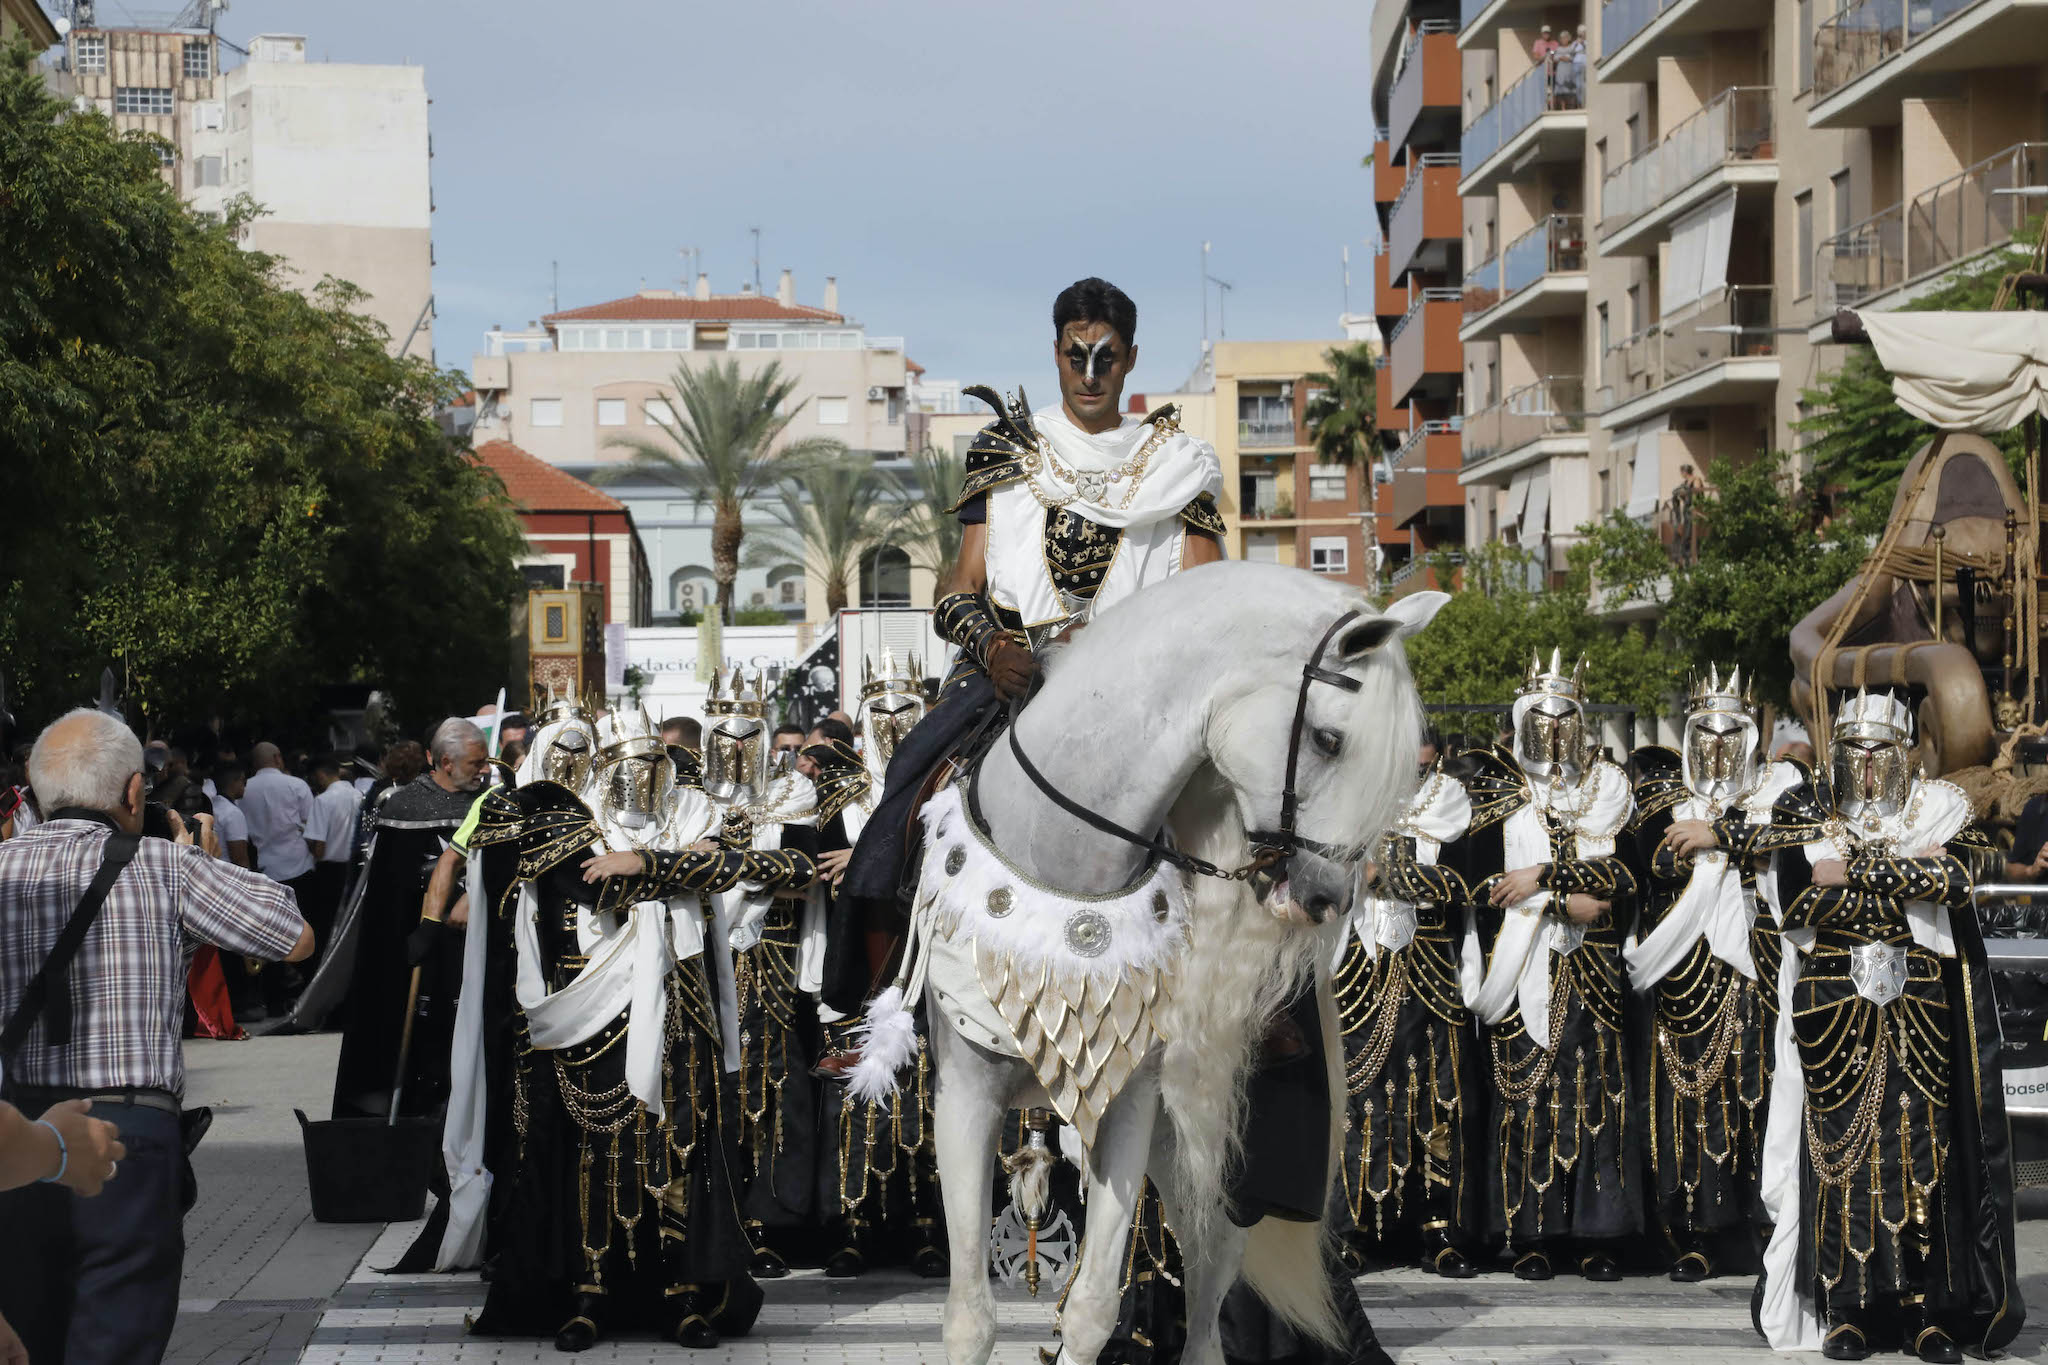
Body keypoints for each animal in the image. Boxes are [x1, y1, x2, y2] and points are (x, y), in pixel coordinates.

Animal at [847, 560, 1441, 1358]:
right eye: (1327, 738)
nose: (1323, 897)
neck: (1067, 864)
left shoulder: (1127, 1097)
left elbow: (1095, 1307)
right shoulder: (965, 1095)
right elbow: (970, 1317)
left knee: (1212, 1273)